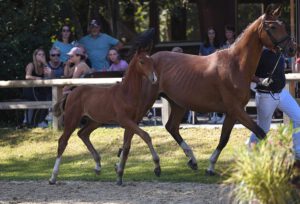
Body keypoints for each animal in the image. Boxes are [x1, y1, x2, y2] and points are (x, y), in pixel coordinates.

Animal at [48, 50, 162, 186]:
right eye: (142, 61)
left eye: (152, 62)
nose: (154, 78)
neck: (126, 93)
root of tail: (71, 93)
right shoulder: (124, 121)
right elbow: (145, 136)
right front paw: (157, 167)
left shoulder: (133, 122)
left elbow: (127, 146)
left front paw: (119, 175)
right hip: (72, 119)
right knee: (63, 142)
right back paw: (53, 177)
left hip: (95, 121)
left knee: (83, 134)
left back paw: (98, 166)